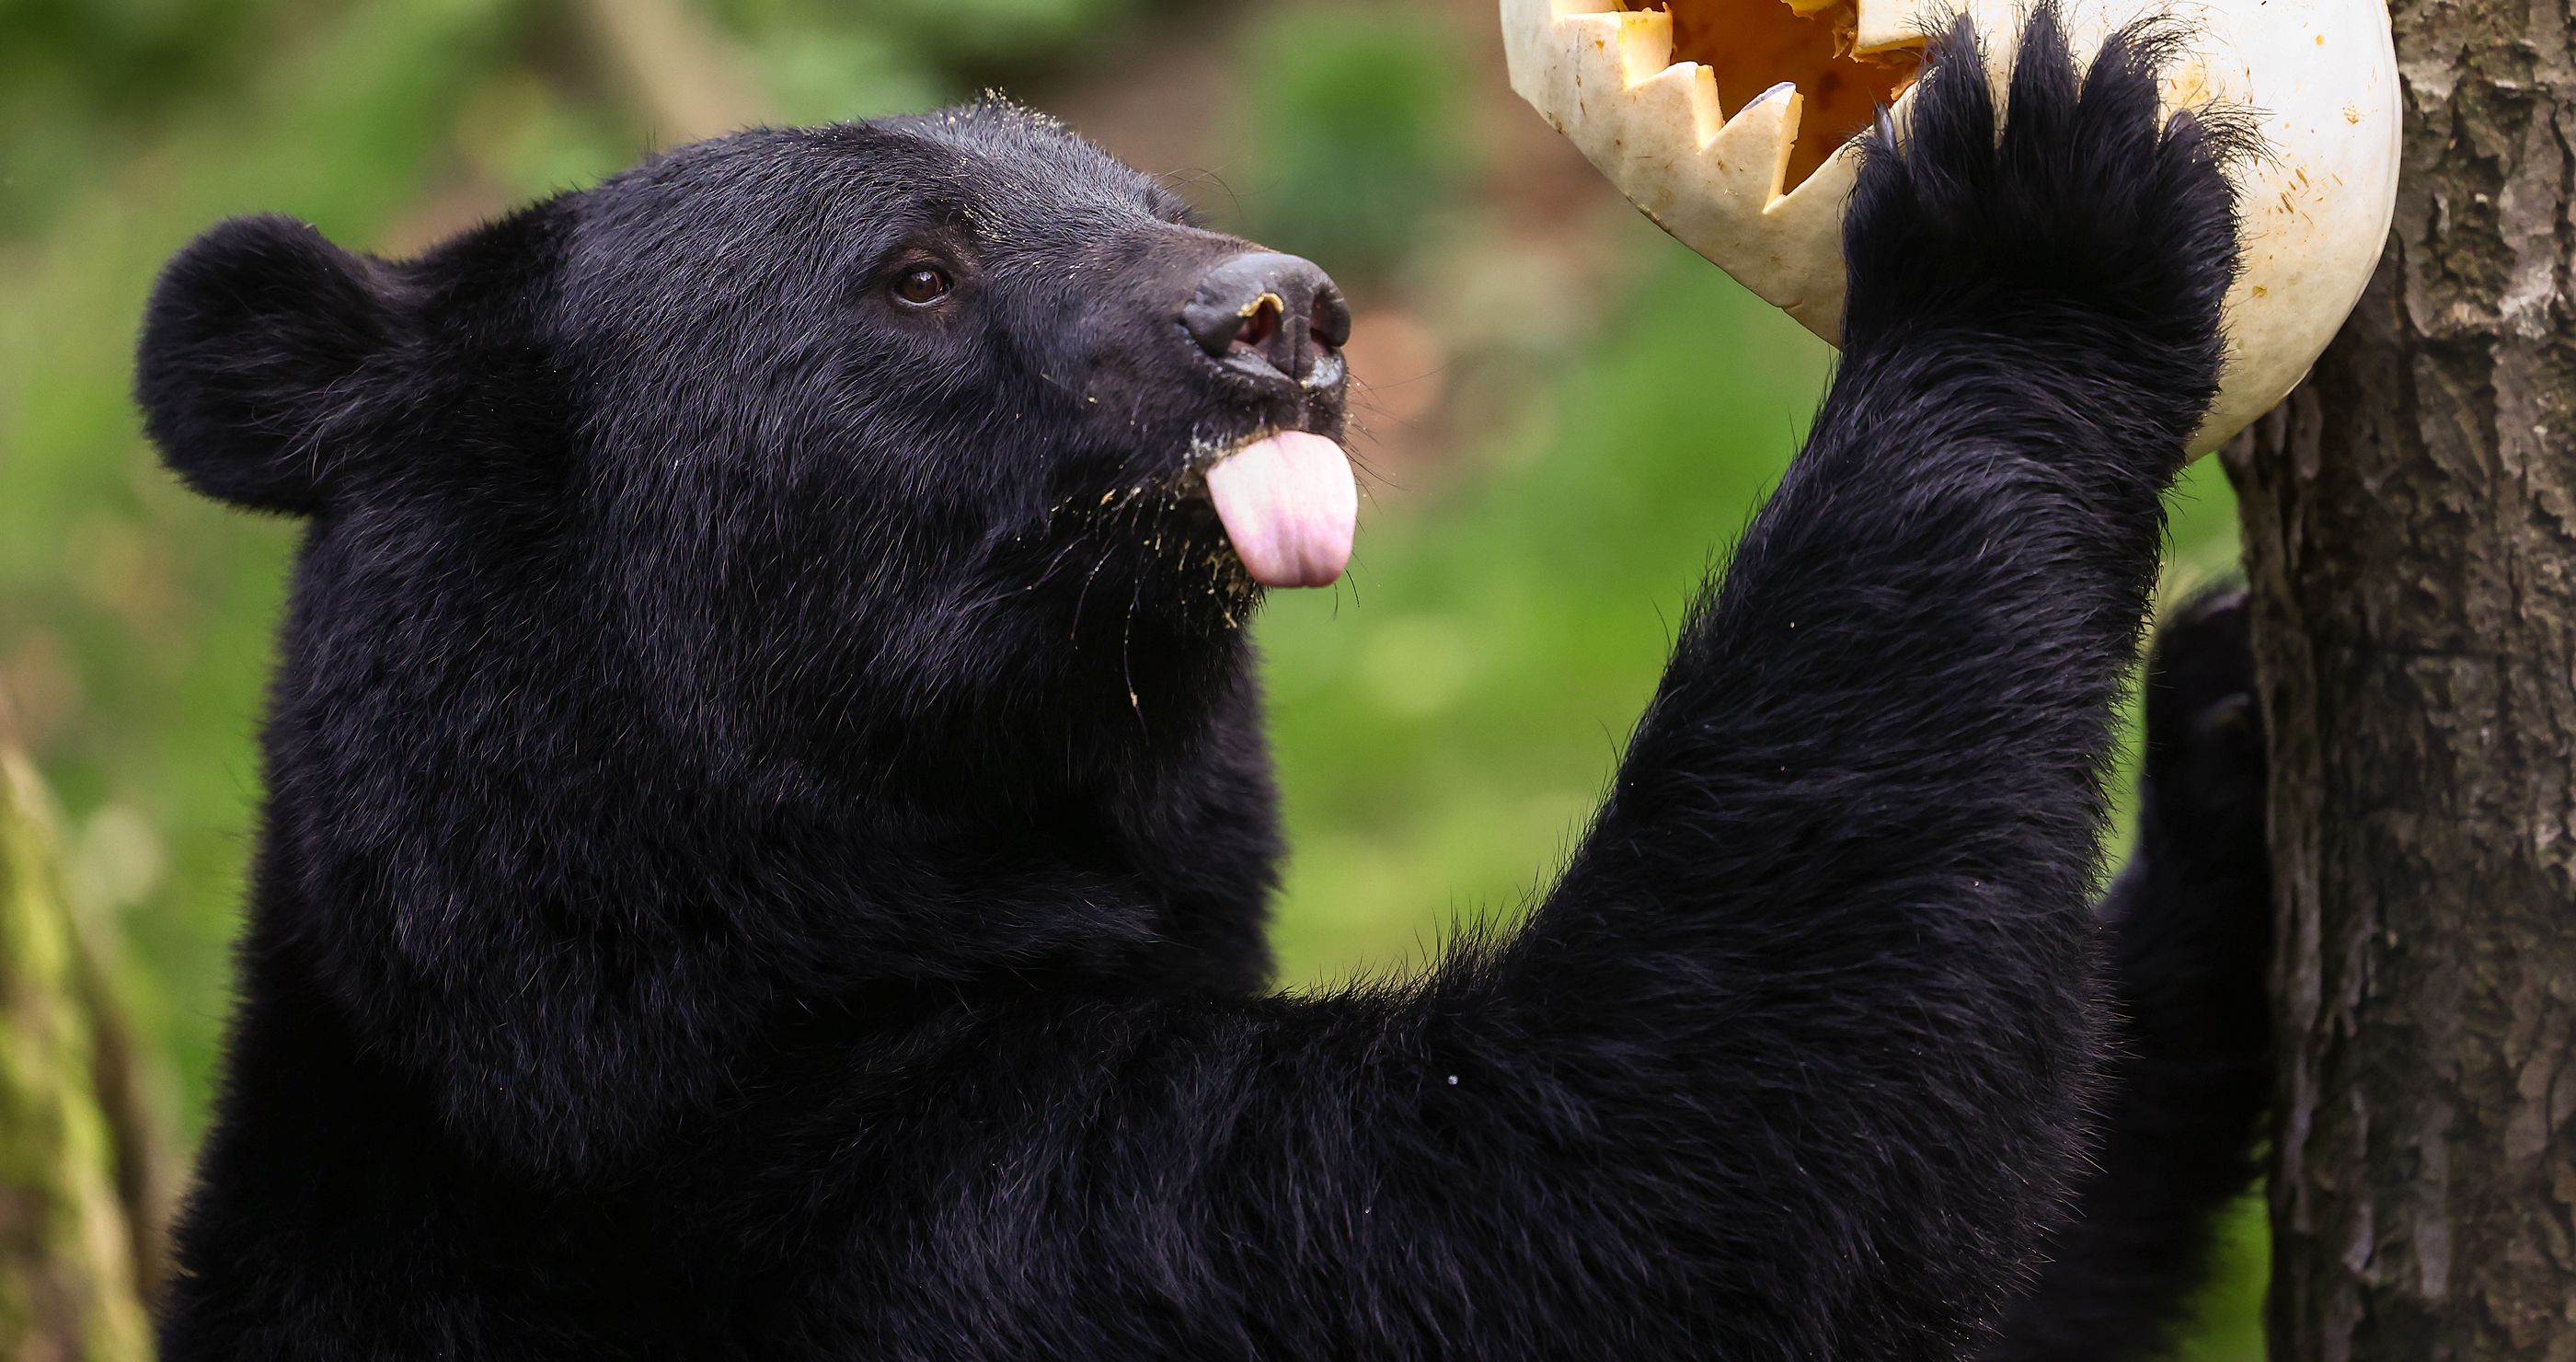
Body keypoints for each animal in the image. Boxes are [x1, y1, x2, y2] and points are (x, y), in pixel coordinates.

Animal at [134, 12, 2270, 1360]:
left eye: (1149, 195)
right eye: (916, 272)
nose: (1284, 316)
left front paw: (2223, 734)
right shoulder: (865, 1219)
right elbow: (1606, 1192)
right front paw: (2034, 212)